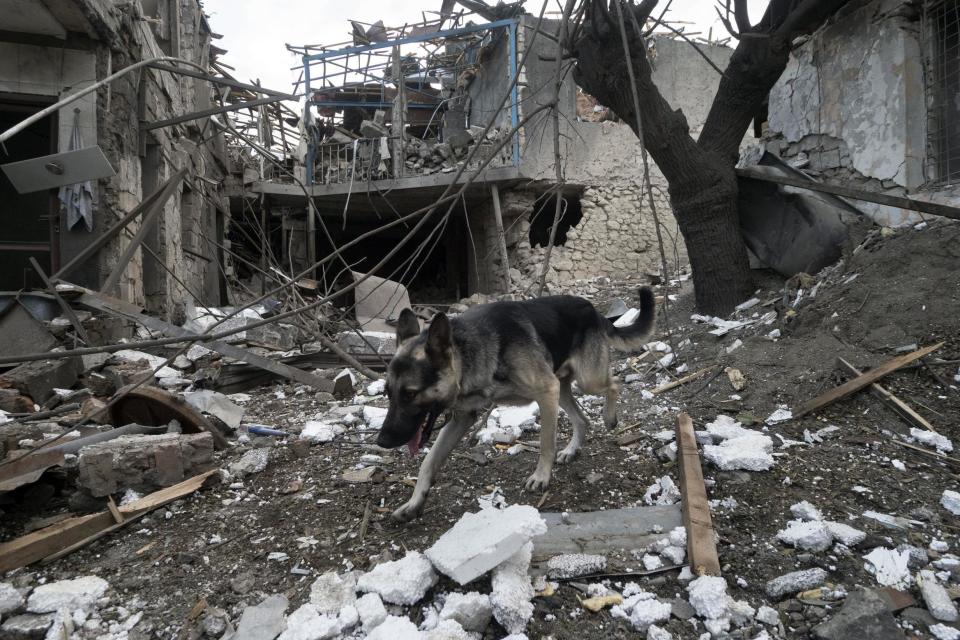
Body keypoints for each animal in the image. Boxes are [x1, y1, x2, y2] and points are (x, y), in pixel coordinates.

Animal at [378, 288, 656, 524]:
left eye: (410, 394)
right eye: (387, 393)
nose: (381, 441)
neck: (473, 350)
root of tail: (591, 308)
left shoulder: (546, 392)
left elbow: (546, 443)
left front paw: (541, 477)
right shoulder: (462, 418)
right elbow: (428, 461)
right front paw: (414, 502)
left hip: (587, 381)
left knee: (614, 383)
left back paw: (609, 418)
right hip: (562, 388)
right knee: (582, 419)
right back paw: (571, 450)